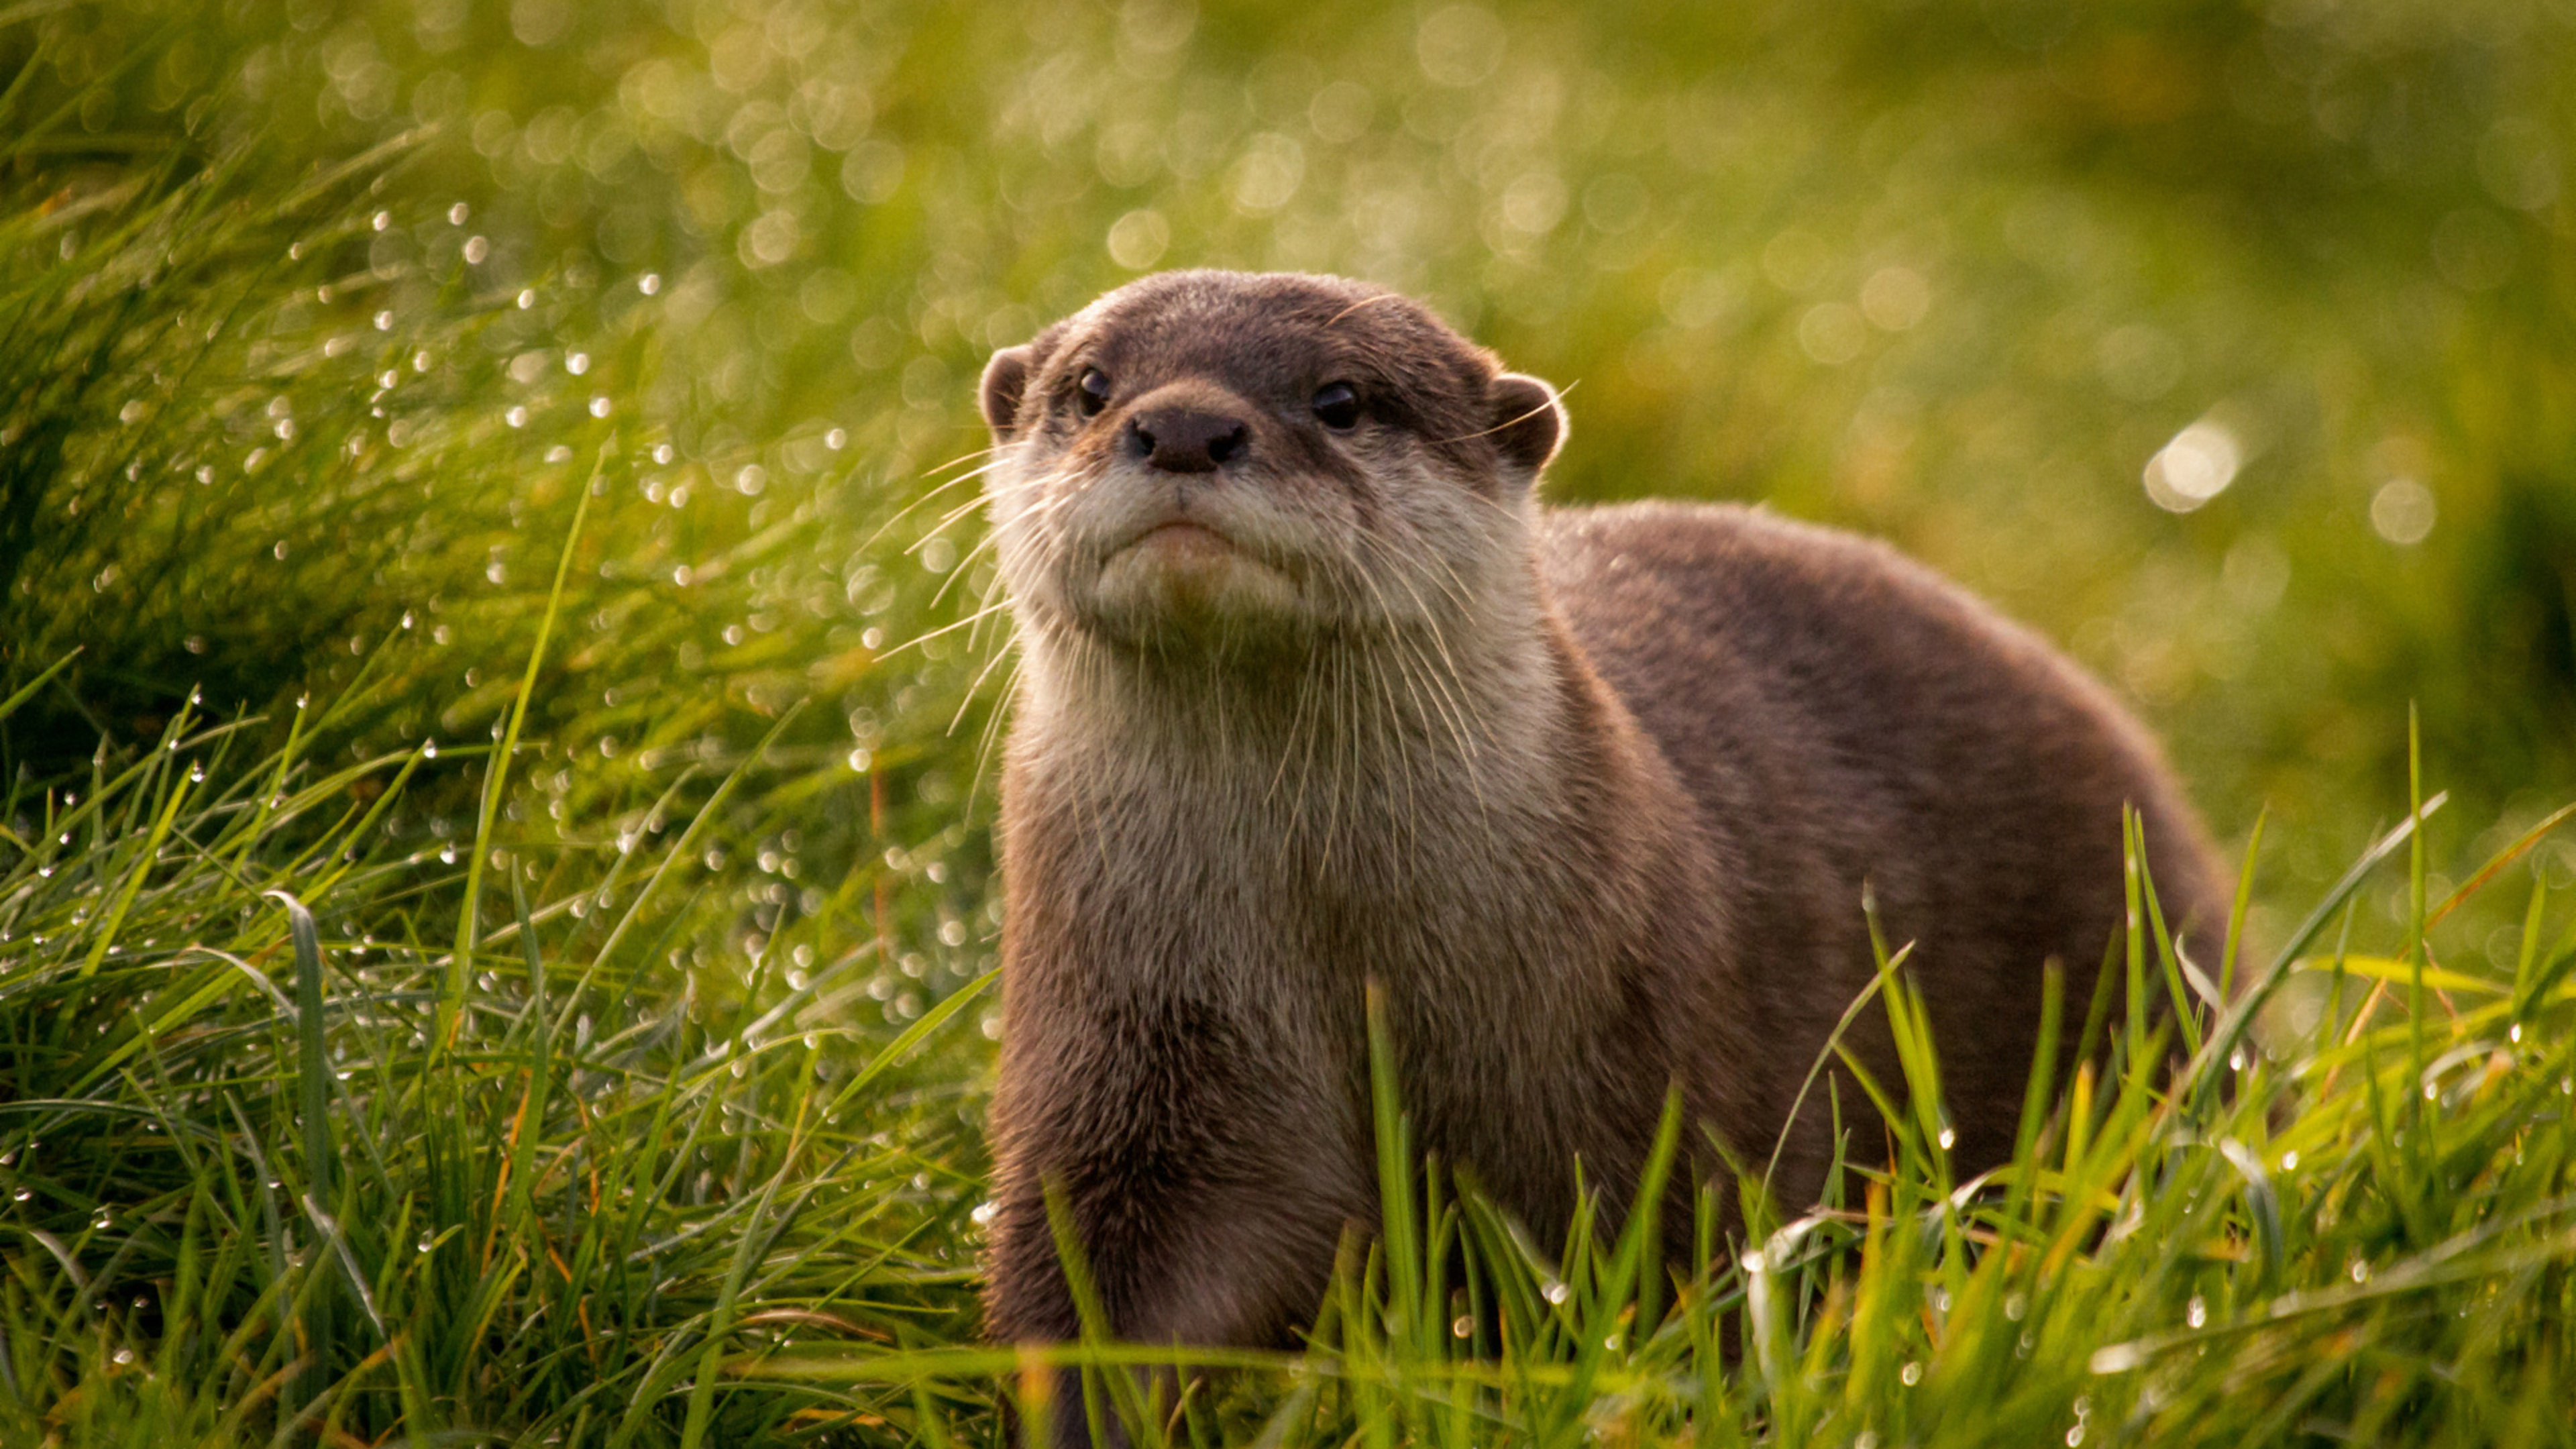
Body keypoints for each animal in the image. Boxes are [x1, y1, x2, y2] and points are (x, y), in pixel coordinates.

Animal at [973, 273, 2225, 1392]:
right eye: (1091, 387)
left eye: (1340, 397)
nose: (1183, 425)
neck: (1342, 953)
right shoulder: (1128, 1060)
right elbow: (1101, 1288)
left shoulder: (1650, 1083)